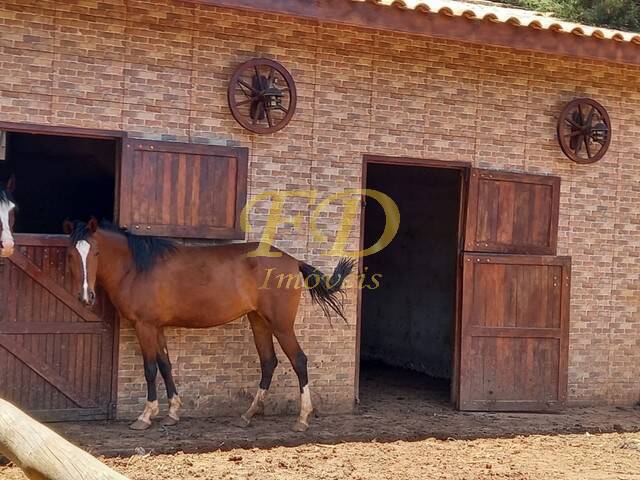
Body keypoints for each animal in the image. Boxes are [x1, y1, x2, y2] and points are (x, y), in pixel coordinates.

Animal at [63, 218, 356, 432]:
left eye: (96, 252)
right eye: (71, 254)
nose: (86, 296)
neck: (137, 268)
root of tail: (293, 261)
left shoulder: (144, 326)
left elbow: (150, 369)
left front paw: (145, 416)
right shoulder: (157, 327)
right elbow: (165, 365)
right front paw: (172, 413)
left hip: (281, 325)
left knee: (299, 361)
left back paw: (302, 419)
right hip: (259, 321)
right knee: (268, 362)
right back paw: (248, 415)